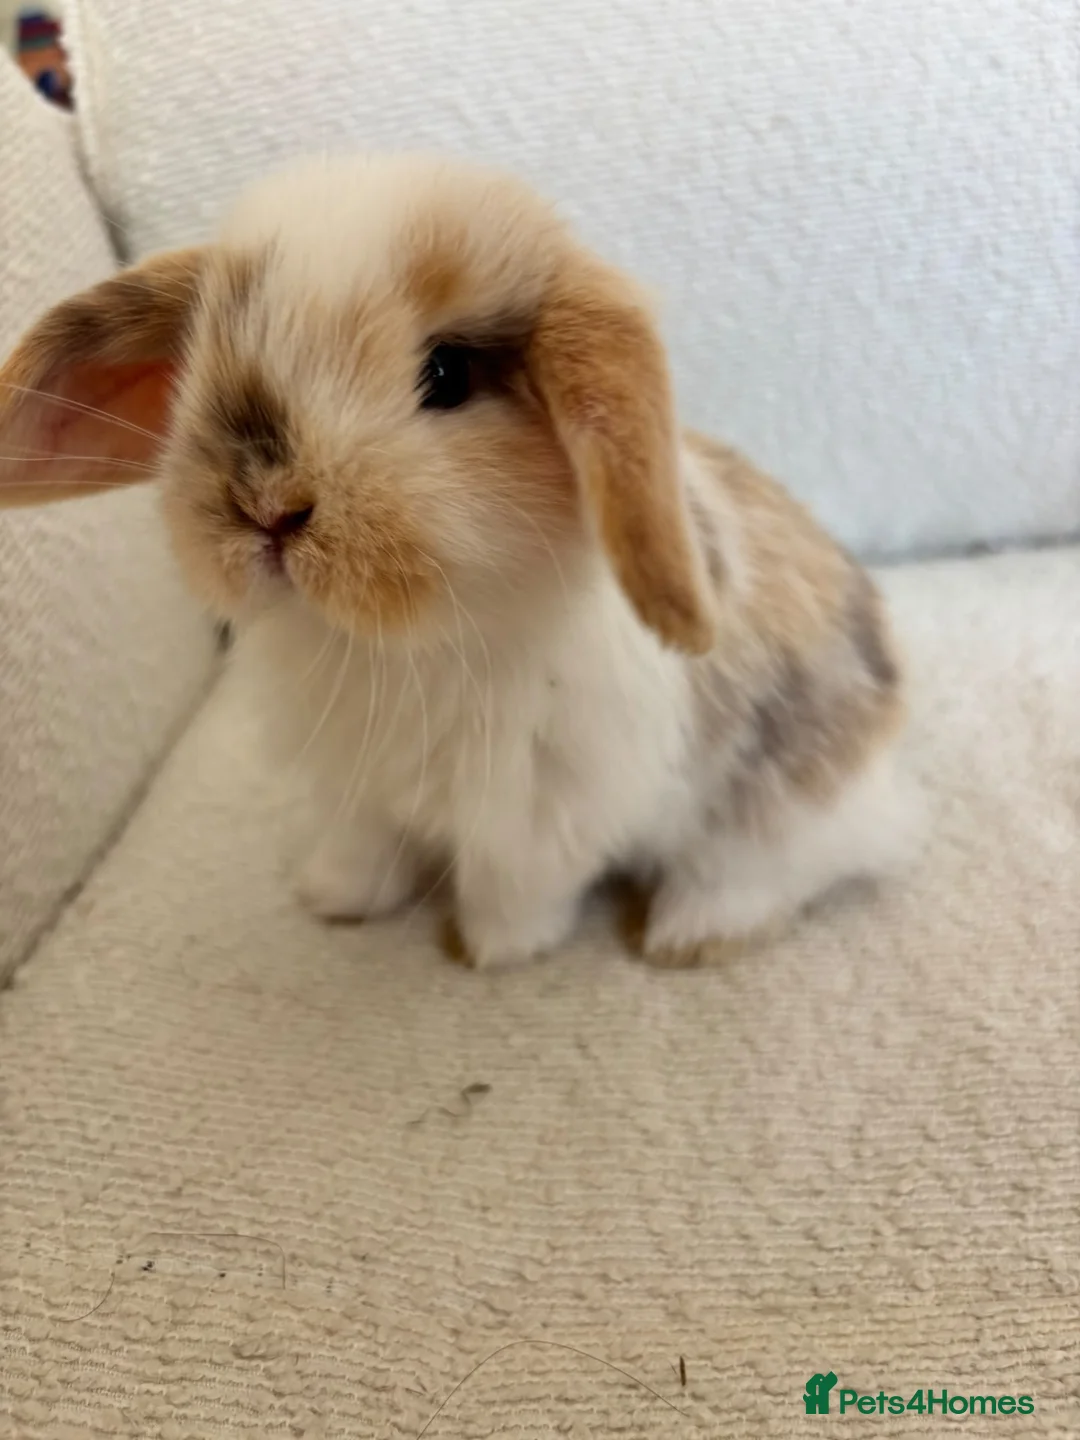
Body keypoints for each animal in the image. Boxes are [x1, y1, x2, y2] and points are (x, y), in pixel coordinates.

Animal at [0, 153, 918, 968]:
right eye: (199, 360)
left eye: (446, 374)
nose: (266, 505)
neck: (403, 642)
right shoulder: (357, 790)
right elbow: (365, 850)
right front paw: (331, 900)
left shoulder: (540, 812)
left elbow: (514, 889)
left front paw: (492, 952)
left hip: (781, 797)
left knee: (771, 870)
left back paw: (687, 936)